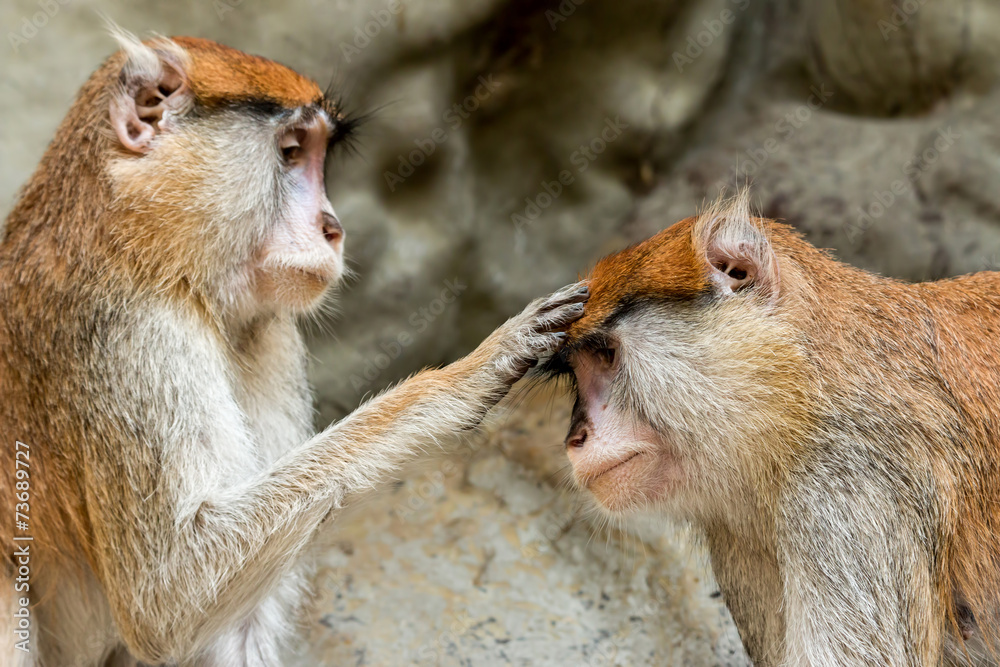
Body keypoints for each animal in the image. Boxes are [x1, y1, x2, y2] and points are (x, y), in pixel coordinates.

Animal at [0, 31, 589, 666]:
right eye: (288, 152)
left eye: (318, 156)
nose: (333, 227)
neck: (136, 238)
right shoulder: (128, 331)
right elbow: (171, 594)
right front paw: (467, 375)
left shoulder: (267, 333)